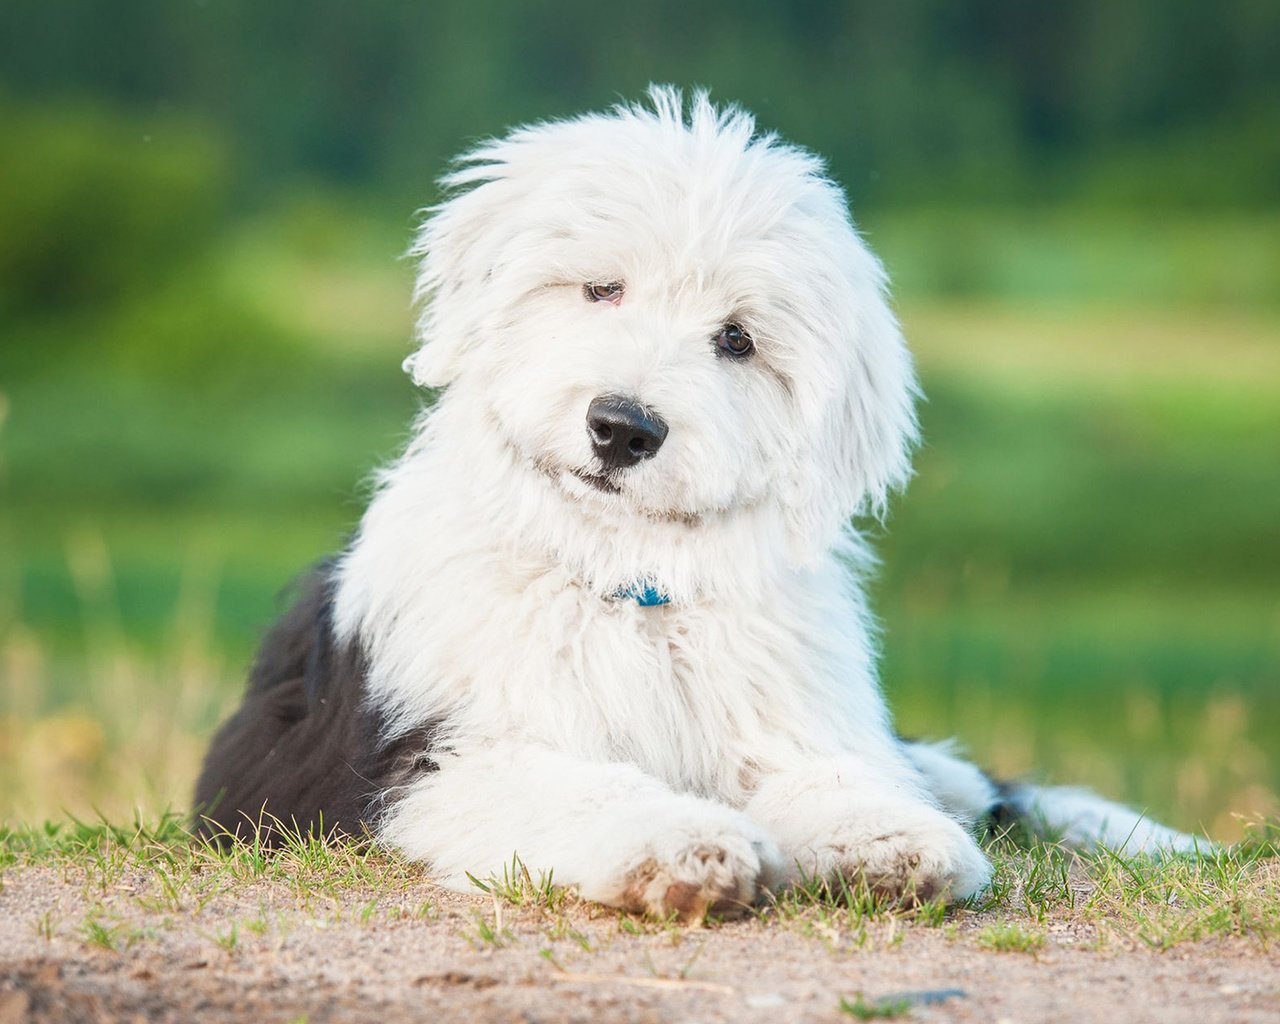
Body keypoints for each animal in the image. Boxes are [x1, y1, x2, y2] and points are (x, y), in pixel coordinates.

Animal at [192, 88, 1198, 921]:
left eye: (737, 339)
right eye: (602, 287)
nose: (622, 428)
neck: (630, 580)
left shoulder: (782, 719)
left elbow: (826, 776)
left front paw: (889, 841)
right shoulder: (441, 757)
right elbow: (580, 789)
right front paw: (687, 846)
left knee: (978, 780)